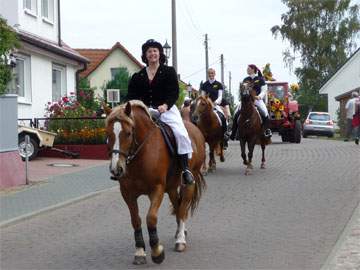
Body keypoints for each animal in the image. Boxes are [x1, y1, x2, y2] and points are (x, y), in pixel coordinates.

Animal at [104, 100, 205, 264]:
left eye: (128, 133)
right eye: (108, 134)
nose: (116, 169)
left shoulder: (157, 189)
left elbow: (151, 218)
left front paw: (157, 251)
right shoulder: (127, 193)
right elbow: (136, 220)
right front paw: (140, 251)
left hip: (189, 182)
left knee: (183, 207)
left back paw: (180, 240)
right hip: (171, 187)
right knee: (177, 206)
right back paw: (180, 232)